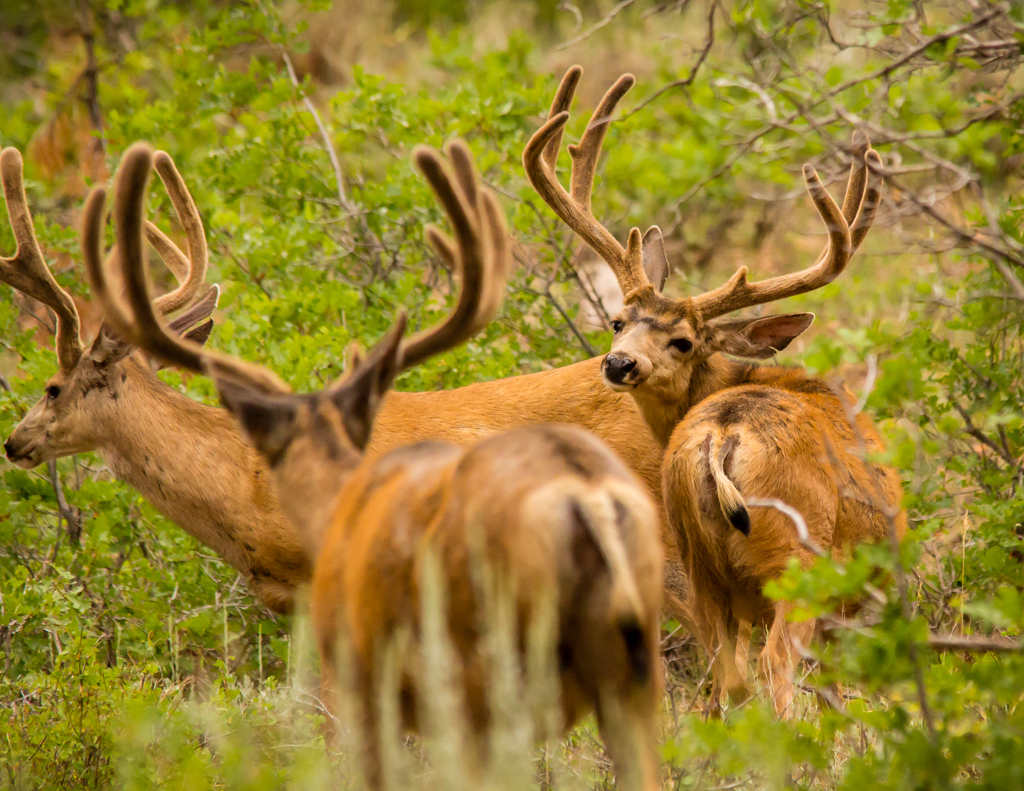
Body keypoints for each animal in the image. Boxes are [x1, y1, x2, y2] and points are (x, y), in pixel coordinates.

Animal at [528, 64, 905, 713]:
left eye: (682, 341)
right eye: (618, 322)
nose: (618, 363)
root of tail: (721, 438)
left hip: (696, 562)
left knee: (726, 673)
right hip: (798, 560)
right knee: (776, 665)